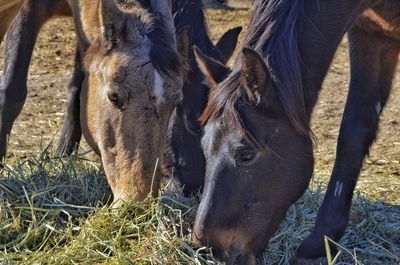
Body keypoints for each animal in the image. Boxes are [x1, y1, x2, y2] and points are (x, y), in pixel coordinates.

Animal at [0, 0, 186, 203]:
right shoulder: (24, 11)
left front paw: (63, 155)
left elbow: (77, 91)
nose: (138, 198)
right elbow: (12, 94)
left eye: (176, 102)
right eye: (113, 97)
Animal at [195, 0, 400, 262]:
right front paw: (320, 242)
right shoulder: (371, 36)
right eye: (204, 148)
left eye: (246, 155)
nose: (210, 249)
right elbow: (353, 134)